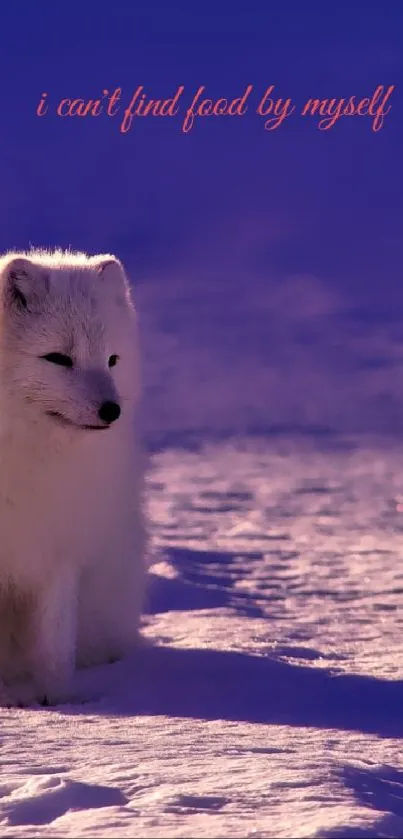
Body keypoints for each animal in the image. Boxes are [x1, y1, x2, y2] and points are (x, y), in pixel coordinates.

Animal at [0, 249, 147, 708]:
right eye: (58, 358)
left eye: (112, 360)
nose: (111, 411)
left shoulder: (60, 547)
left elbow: (56, 643)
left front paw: (60, 702)